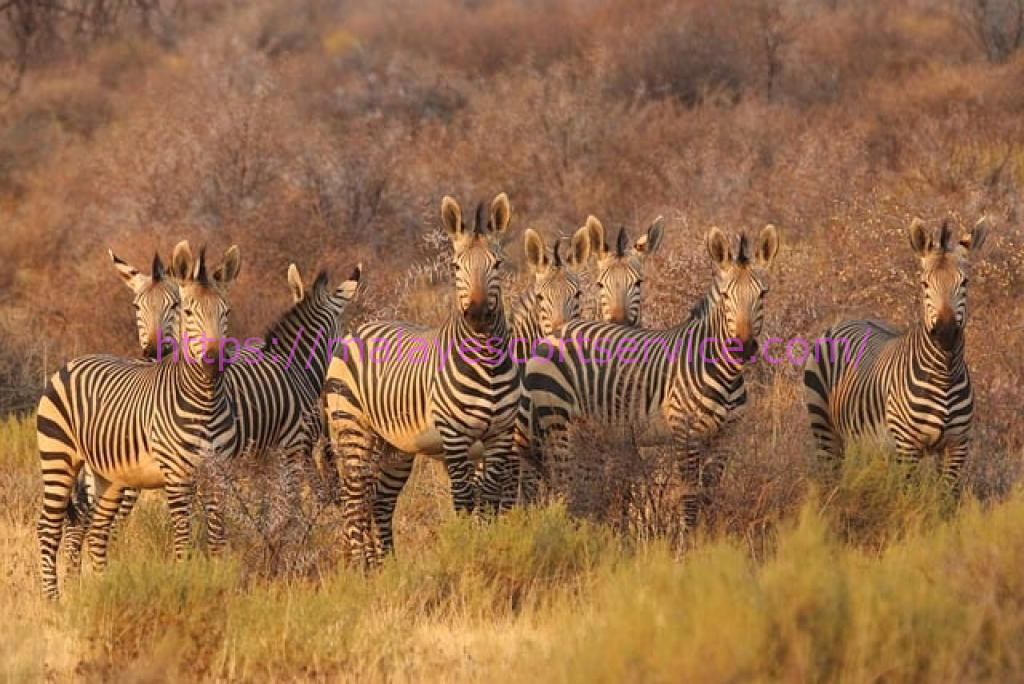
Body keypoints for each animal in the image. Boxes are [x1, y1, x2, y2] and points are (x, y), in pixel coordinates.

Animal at [36, 243, 241, 598]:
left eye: (225, 312)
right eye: (189, 312)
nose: (215, 361)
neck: (206, 401)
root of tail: (73, 361)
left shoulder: (219, 474)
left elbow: (217, 539)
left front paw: (219, 588)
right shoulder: (177, 476)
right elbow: (184, 540)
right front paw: (185, 587)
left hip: (108, 476)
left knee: (96, 530)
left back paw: (102, 589)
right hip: (58, 458)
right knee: (49, 527)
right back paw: (53, 600)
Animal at [324, 193, 519, 566]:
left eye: (498, 264)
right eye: (455, 267)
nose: (477, 315)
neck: (486, 360)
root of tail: (359, 330)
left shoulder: (501, 436)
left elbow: (488, 500)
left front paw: (487, 547)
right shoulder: (455, 438)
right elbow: (464, 501)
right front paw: (466, 553)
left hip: (395, 446)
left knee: (379, 503)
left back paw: (386, 567)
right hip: (352, 430)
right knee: (354, 503)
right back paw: (360, 569)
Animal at [514, 225, 780, 528]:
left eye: (763, 295)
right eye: (725, 296)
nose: (743, 347)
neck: (725, 373)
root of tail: (555, 333)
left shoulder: (724, 439)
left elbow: (711, 495)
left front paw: (709, 536)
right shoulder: (685, 433)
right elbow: (690, 497)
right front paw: (687, 540)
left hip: (585, 430)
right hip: (557, 420)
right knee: (563, 480)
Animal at [803, 217, 987, 495]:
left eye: (965, 282)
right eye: (924, 284)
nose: (945, 333)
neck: (944, 374)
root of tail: (852, 318)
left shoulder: (957, 445)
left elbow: (944, 501)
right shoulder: (907, 446)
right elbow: (908, 498)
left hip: (869, 440)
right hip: (824, 426)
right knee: (831, 475)